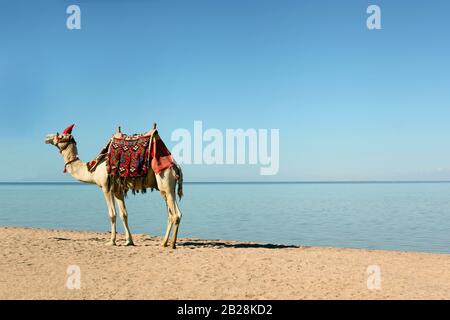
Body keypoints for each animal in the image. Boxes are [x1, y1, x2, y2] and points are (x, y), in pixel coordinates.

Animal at [44, 124, 184, 249]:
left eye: (60, 136)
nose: (46, 137)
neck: (92, 169)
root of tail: (176, 166)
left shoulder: (105, 187)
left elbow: (112, 214)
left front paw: (112, 241)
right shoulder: (118, 190)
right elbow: (124, 214)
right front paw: (128, 241)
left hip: (166, 182)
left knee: (176, 214)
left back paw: (172, 244)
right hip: (165, 189)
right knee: (171, 215)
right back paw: (164, 243)